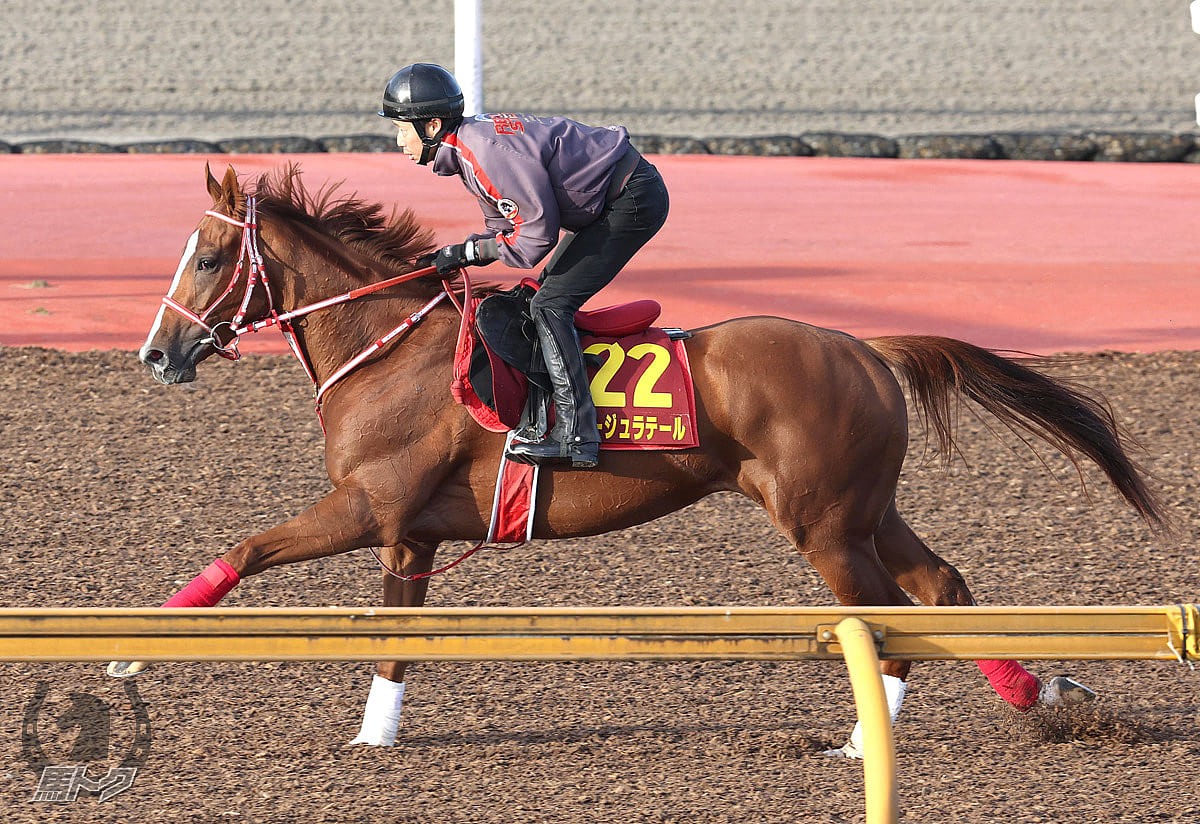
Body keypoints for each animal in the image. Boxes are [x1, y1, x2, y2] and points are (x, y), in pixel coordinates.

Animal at [117, 164, 1166, 758]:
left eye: (208, 259)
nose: (158, 354)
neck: (389, 347)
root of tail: (866, 346)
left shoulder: (366, 505)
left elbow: (247, 550)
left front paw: (128, 651)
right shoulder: (407, 534)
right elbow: (395, 640)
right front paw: (373, 737)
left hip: (823, 522)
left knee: (885, 613)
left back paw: (868, 737)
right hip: (865, 508)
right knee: (939, 587)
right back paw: (1031, 694)